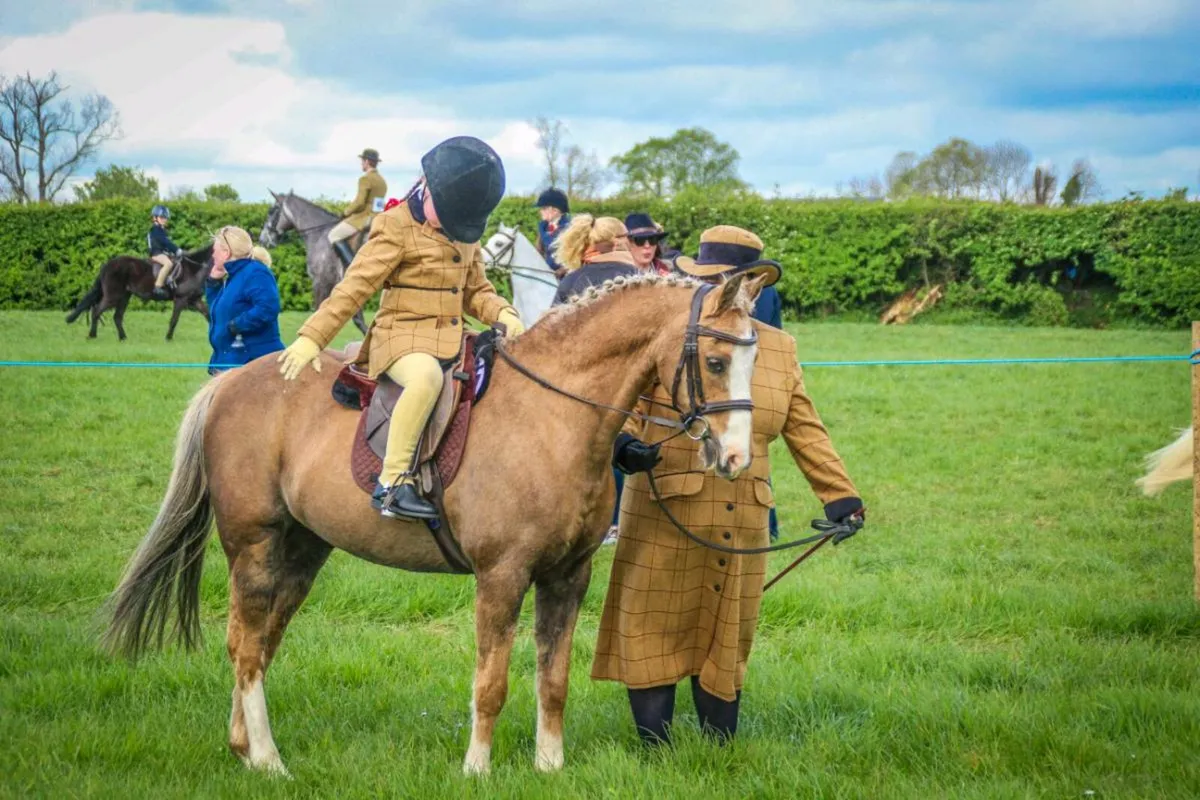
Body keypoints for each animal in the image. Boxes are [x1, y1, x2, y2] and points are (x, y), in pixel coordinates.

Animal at [65, 245, 214, 341]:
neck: (194, 269)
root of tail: (107, 265)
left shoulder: (195, 300)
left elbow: (209, 316)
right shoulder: (181, 299)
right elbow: (174, 320)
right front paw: (168, 338)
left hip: (124, 297)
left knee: (117, 317)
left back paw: (123, 338)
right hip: (113, 296)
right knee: (97, 311)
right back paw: (92, 335)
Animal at [102, 271, 764, 777]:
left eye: (753, 357)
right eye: (715, 360)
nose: (734, 457)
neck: (553, 416)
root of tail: (229, 383)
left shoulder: (568, 576)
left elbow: (553, 678)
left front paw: (550, 767)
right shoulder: (501, 576)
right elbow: (491, 682)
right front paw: (477, 769)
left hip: (301, 552)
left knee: (260, 645)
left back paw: (244, 749)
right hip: (255, 548)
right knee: (244, 646)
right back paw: (268, 760)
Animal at [257, 190, 369, 335]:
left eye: (271, 211)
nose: (262, 240)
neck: (320, 235)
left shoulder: (320, 282)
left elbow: (317, 314)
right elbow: (358, 320)